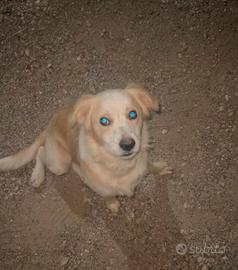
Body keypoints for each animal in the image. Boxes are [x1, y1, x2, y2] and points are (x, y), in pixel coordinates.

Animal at [0, 84, 171, 211]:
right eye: (104, 121)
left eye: (133, 114)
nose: (128, 144)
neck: (120, 165)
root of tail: (50, 125)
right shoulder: (103, 189)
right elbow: (108, 196)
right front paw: (113, 205)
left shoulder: (143, 162)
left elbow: (150, 166)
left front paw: (160, 168)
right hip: (60, 164)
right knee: (41, 152)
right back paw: (38, 175)